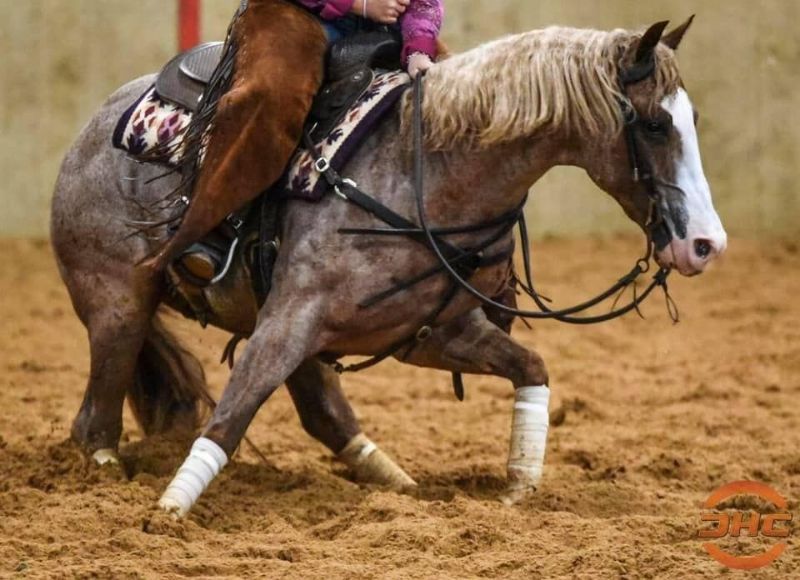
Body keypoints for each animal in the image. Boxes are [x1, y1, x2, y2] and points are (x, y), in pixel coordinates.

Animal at [50, 18, 726, 517]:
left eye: (693, 120)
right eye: (654, 123)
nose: (705, 244)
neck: (421, 172)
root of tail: (92, 127)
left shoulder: (425, 334)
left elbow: (532, 368)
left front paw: (520, 487)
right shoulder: (288, 323)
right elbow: (230, 415)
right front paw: (167, 513)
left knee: (324, 413)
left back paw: (398, 483)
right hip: (118, 305)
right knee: (93, 424)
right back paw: (105, 479)